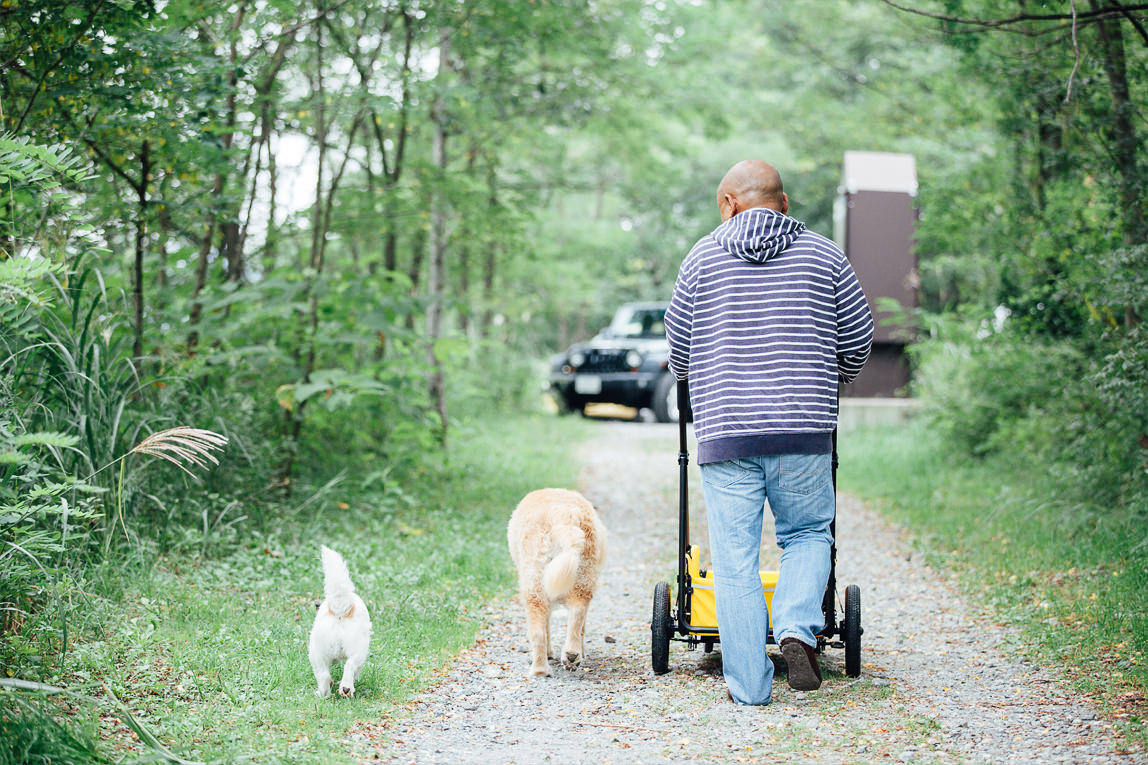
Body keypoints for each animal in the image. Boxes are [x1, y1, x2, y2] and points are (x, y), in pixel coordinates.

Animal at [307, 542, 369, 698]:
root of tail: (340, 607)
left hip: (317, 653)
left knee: (324, 676)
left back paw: (324, 694)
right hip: (359, 650)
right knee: (349, 666)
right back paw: (346, 688)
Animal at [507, 489, 606, 675]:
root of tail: (563, 518)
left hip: (535, 584)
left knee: (540, 628)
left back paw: (541, 667)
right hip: (581, 578)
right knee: (576, 616)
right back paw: (569, 656)